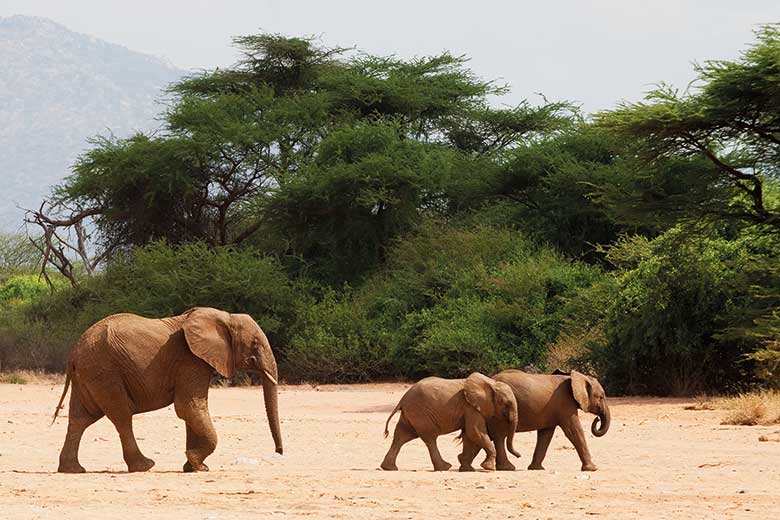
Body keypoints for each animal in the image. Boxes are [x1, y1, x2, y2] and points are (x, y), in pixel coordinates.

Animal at [53, 306, 284, 474]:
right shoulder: (191, 360)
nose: (279, 452)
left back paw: (72, 470)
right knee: (122, 417)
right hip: (105, 373)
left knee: (80, 419)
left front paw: (193, 467)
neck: (225, 317)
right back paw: (144, 466)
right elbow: (189, 407)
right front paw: (197, 464)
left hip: (89, 375)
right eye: (254, 343)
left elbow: (191, 411)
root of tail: (73, 353)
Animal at [380, 372, 520, 474]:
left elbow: (469, 435)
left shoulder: (470, 408)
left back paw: (389, 468)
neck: (491, 383)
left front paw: (467, 470)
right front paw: (489, 468)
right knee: (430, 438)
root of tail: (403, 398)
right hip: (420, 413)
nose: (519, 456)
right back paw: (444, 467)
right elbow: (475, 431)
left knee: (401, 436)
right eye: (506, 403)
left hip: (411, 414)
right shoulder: (470, 407)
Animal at [458, 370, 608, 472]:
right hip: (497, 411)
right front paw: (593, 469)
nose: (597, 418)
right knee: (499, 436)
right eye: (600, 397)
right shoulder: (565, 405)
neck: (575, 377)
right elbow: (574, 431)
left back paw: (465, 463)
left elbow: (545, 435)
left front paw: (536, 468)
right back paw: (506, 468)